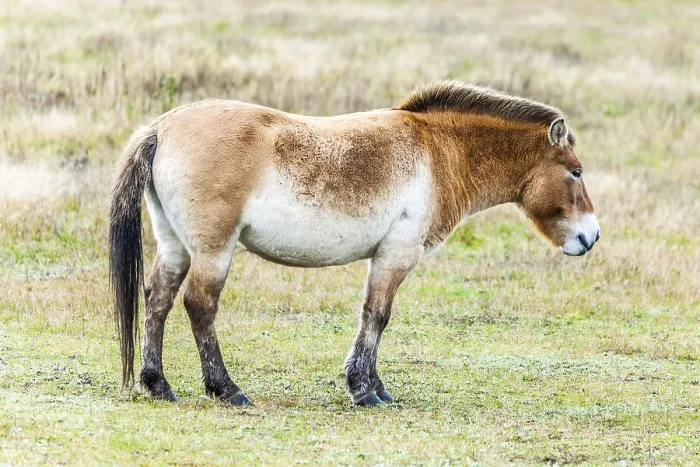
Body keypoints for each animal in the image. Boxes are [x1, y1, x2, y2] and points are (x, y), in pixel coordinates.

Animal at [109, 80, 600, 406]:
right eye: (575, 171)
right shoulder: (396, 255)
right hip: (213, 250)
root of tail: (161, 128)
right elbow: (377, 316)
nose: (590, 237)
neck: (439, 150)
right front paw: (364, 390)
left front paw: (373, 386)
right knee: (199, 305)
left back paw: (157, 384)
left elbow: (372, 317)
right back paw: (226, 389)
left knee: (158, 299)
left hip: (175, 245)